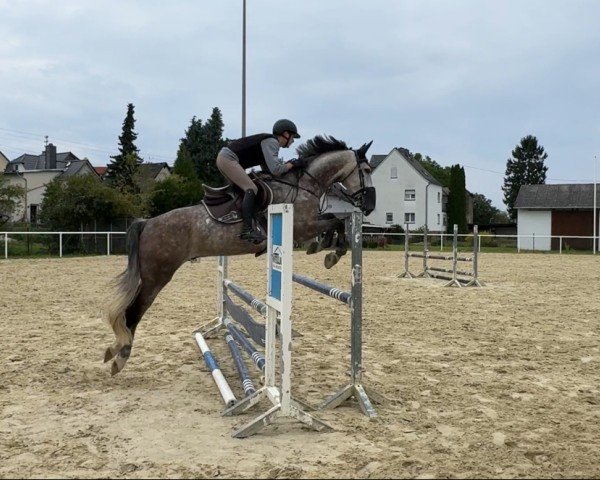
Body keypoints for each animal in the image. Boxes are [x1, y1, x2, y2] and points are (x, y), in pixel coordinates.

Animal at [103, 134, 376, 376]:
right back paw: (121, 356)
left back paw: (114, 351)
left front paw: (328, 248)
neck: (304, 185)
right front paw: (331, 252)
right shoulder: (302, 226)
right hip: (157, 276)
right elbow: (335, 219)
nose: (370, 206)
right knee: (134, 311)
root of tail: (148, 223)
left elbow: (336, 220)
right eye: (366, 169)